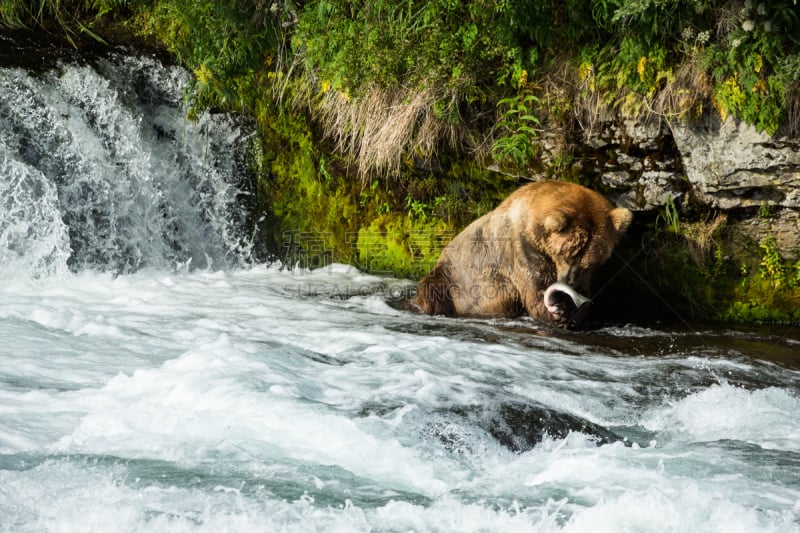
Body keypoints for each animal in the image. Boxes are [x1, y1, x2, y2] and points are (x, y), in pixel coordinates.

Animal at [412, 181, 632, 326]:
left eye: (590, 263)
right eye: (565, 255)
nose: (568, 284)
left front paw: (574, 311)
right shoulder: (522, 251)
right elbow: (534, 290)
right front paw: (558, 312)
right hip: (450, 279)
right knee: (432, 293)